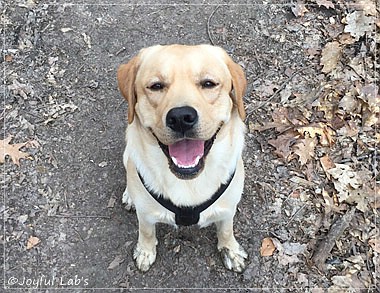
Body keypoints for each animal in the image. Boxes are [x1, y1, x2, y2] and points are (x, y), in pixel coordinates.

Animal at [119, 44, 248, 272]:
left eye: (208, 83)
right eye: (156, 86)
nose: (180, 117)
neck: (189, 182)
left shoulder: (228, 208)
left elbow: (226, 230)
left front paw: (230, 250)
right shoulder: (145, 215)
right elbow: (146, 232)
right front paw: (145, 251)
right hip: (129, 156)